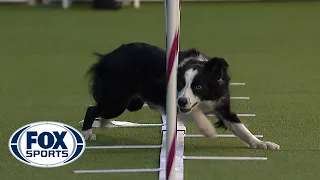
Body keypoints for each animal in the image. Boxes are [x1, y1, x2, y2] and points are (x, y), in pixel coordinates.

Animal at [80, 41, 280, 149]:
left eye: (198, 86)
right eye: (181, 85)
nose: (183, 101)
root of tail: (107, 57)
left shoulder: (222, 104)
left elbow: (241, 128)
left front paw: (262, 144)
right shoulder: (174, 101)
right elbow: (195, 113)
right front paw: (208, 130)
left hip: (131, 103)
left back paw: (104, 124)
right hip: (118, 101)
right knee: (92, 108)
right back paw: (87, 133)